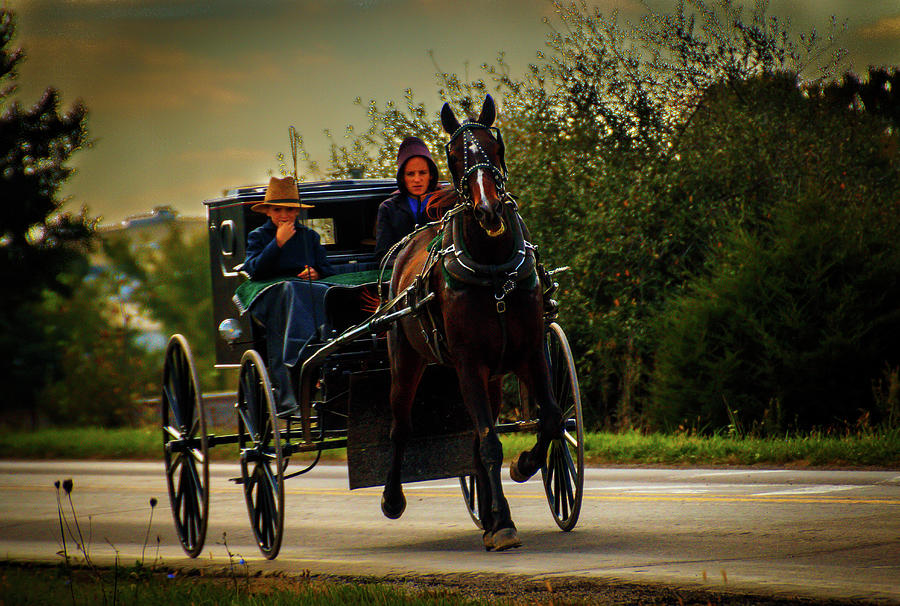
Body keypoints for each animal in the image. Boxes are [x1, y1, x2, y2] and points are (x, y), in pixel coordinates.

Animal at [380, 94, 564, 552]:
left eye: (496, 147)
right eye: (454, 156)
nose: (489, 209)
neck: (494, 270)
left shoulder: (531, 351)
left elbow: (551, 420)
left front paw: (524, 466)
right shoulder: (468, 363)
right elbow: (489, 443)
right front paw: (504, 525)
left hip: (493, 375)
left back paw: (490, 512)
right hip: (406, 360)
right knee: (400, 426)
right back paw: (393, 499)